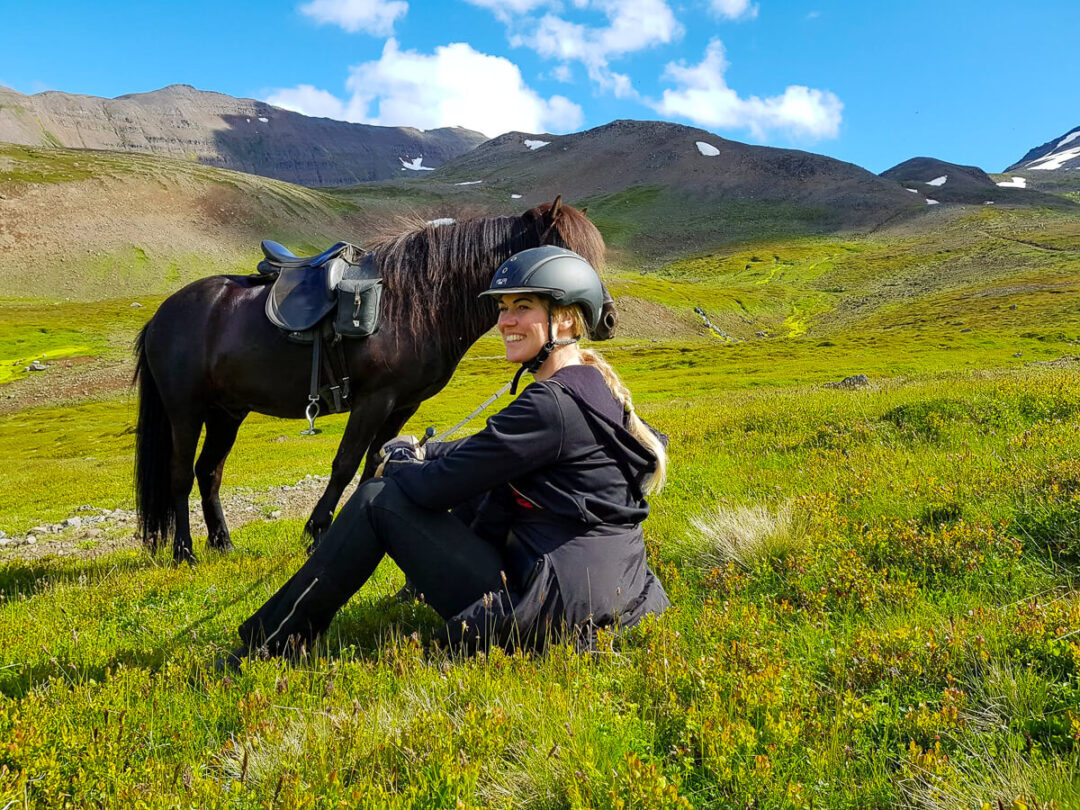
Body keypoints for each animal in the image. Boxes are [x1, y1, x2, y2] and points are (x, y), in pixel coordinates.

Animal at [133, 198, 614, 563]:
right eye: (567, 254)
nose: (606, 319)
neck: (417, 301)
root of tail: (162, 315)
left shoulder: (402, 404)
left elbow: (374, 462)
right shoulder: (373, 399)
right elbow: (345, 463)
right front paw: (315, 532)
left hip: (227, 412)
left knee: (209, 471)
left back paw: (223, 544)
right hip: (186, 409)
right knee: (181, 473)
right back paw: (185, 552)